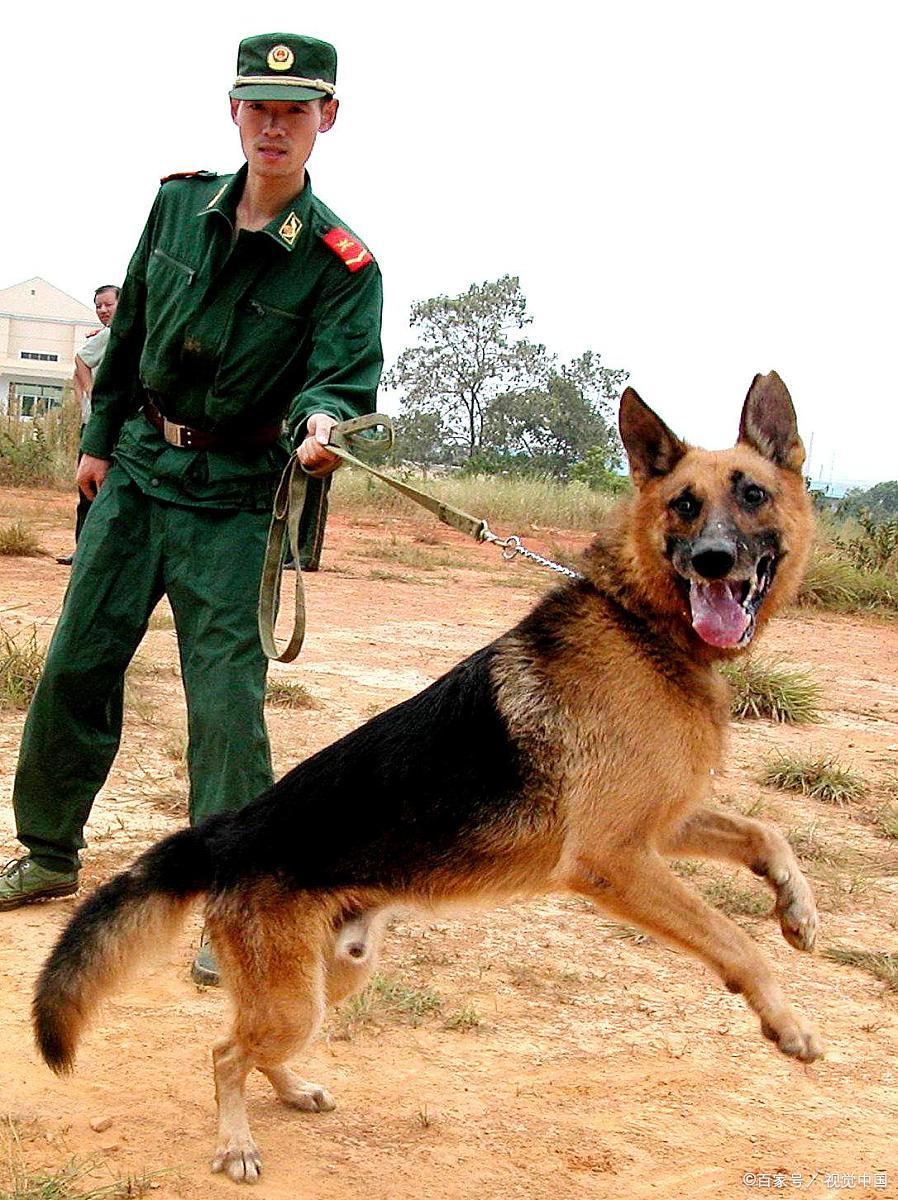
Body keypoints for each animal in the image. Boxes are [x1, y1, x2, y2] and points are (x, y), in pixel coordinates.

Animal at [33, 372, 821, 1180]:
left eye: (752, 494)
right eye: (684, 506)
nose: (714, 561)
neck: (639, 620)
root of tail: (224, 833)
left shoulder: (661, 825)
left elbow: (765, 833)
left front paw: (796, 905)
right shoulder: (615, 859)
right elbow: (734, 938)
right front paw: (785, 1021)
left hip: (329, 979)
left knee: (254, 1048)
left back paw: (293, 1090)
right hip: (293, 999)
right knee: (224, 1053)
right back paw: (236, 1142)